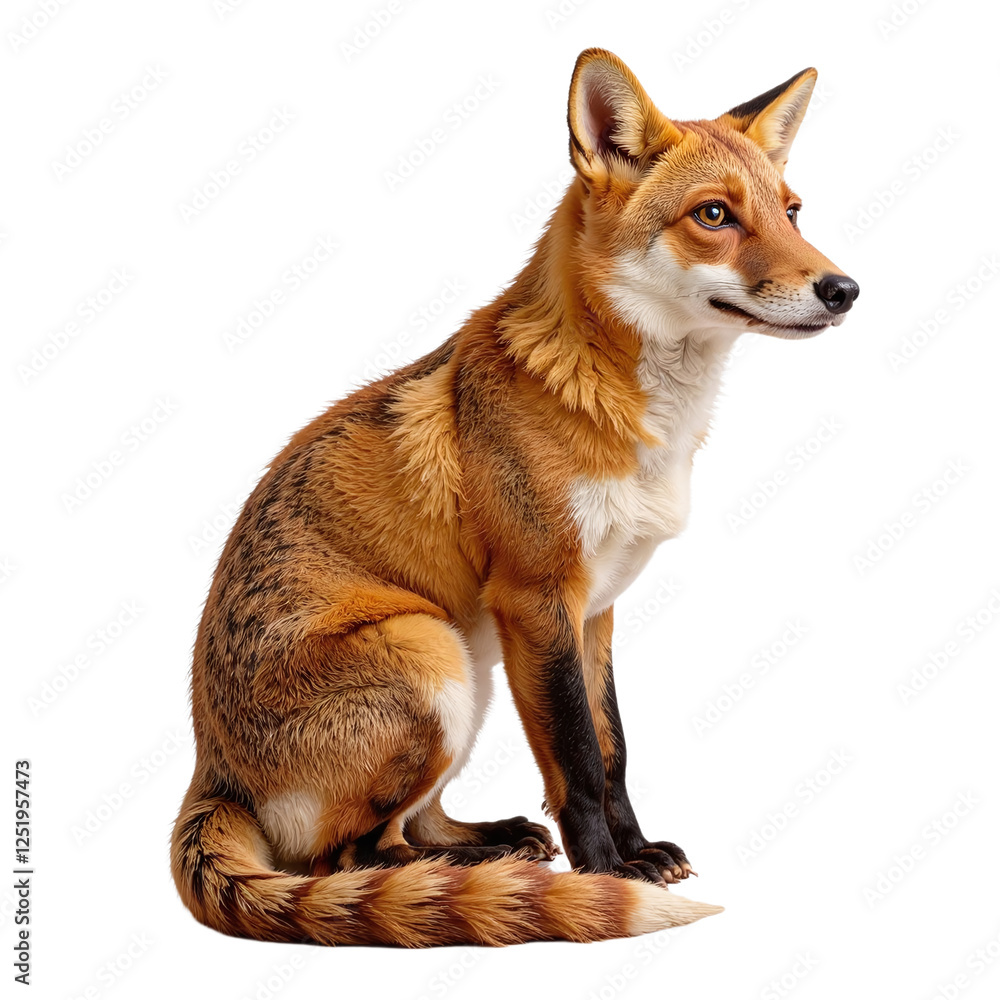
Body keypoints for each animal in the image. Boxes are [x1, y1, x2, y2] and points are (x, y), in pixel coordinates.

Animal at [171, 47, 859, 947]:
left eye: (792, 211)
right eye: (715, 215)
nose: (843, 289)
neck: (636, 421)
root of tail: (210, 767)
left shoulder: (595, 609)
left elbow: (613, 750)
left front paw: (636, 853)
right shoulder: (537, 596)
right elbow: (577, 760)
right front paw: (605, 875)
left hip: (471, 672)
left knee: (411, 827)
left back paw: (492, 843)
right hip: (431, 651)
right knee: (351, 857)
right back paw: (468, 870)